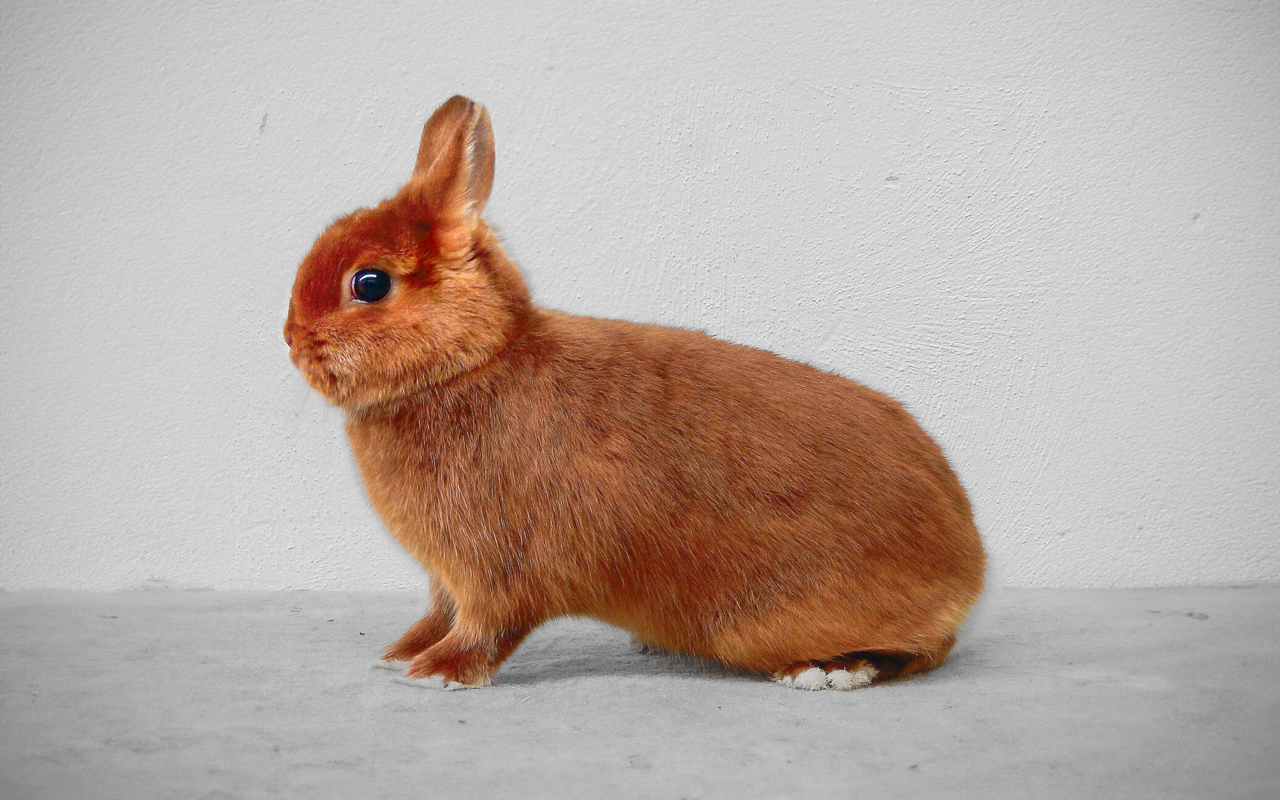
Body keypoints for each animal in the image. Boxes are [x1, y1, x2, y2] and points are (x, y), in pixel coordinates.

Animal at [288, 96, 988, 691]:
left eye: (369, 283)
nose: (292, 341)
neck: (469, 363)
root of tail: (968, 562)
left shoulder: (497, 567)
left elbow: (487, 626)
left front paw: (438, 673)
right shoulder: (444, 578)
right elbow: (437, 613)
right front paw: (399, 655)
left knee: (926, 651)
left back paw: (830, 670)